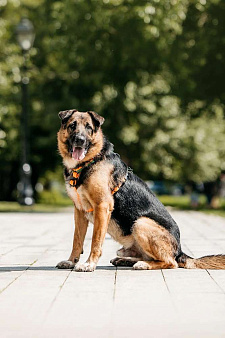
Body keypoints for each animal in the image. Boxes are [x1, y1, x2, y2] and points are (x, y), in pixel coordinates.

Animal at [56, 110, 225, 272]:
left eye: (89, 128)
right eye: (72, 126)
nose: (80, 140)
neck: (87, 163)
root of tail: (180, 252)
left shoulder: (102, 206)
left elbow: (95, 242)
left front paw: (89, 264)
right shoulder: (79, 210)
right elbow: (77, 240)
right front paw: (71, 261)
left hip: (141, 223)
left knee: (171, 263)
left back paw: (144, 265)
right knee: (148, 256)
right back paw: (126, 260)